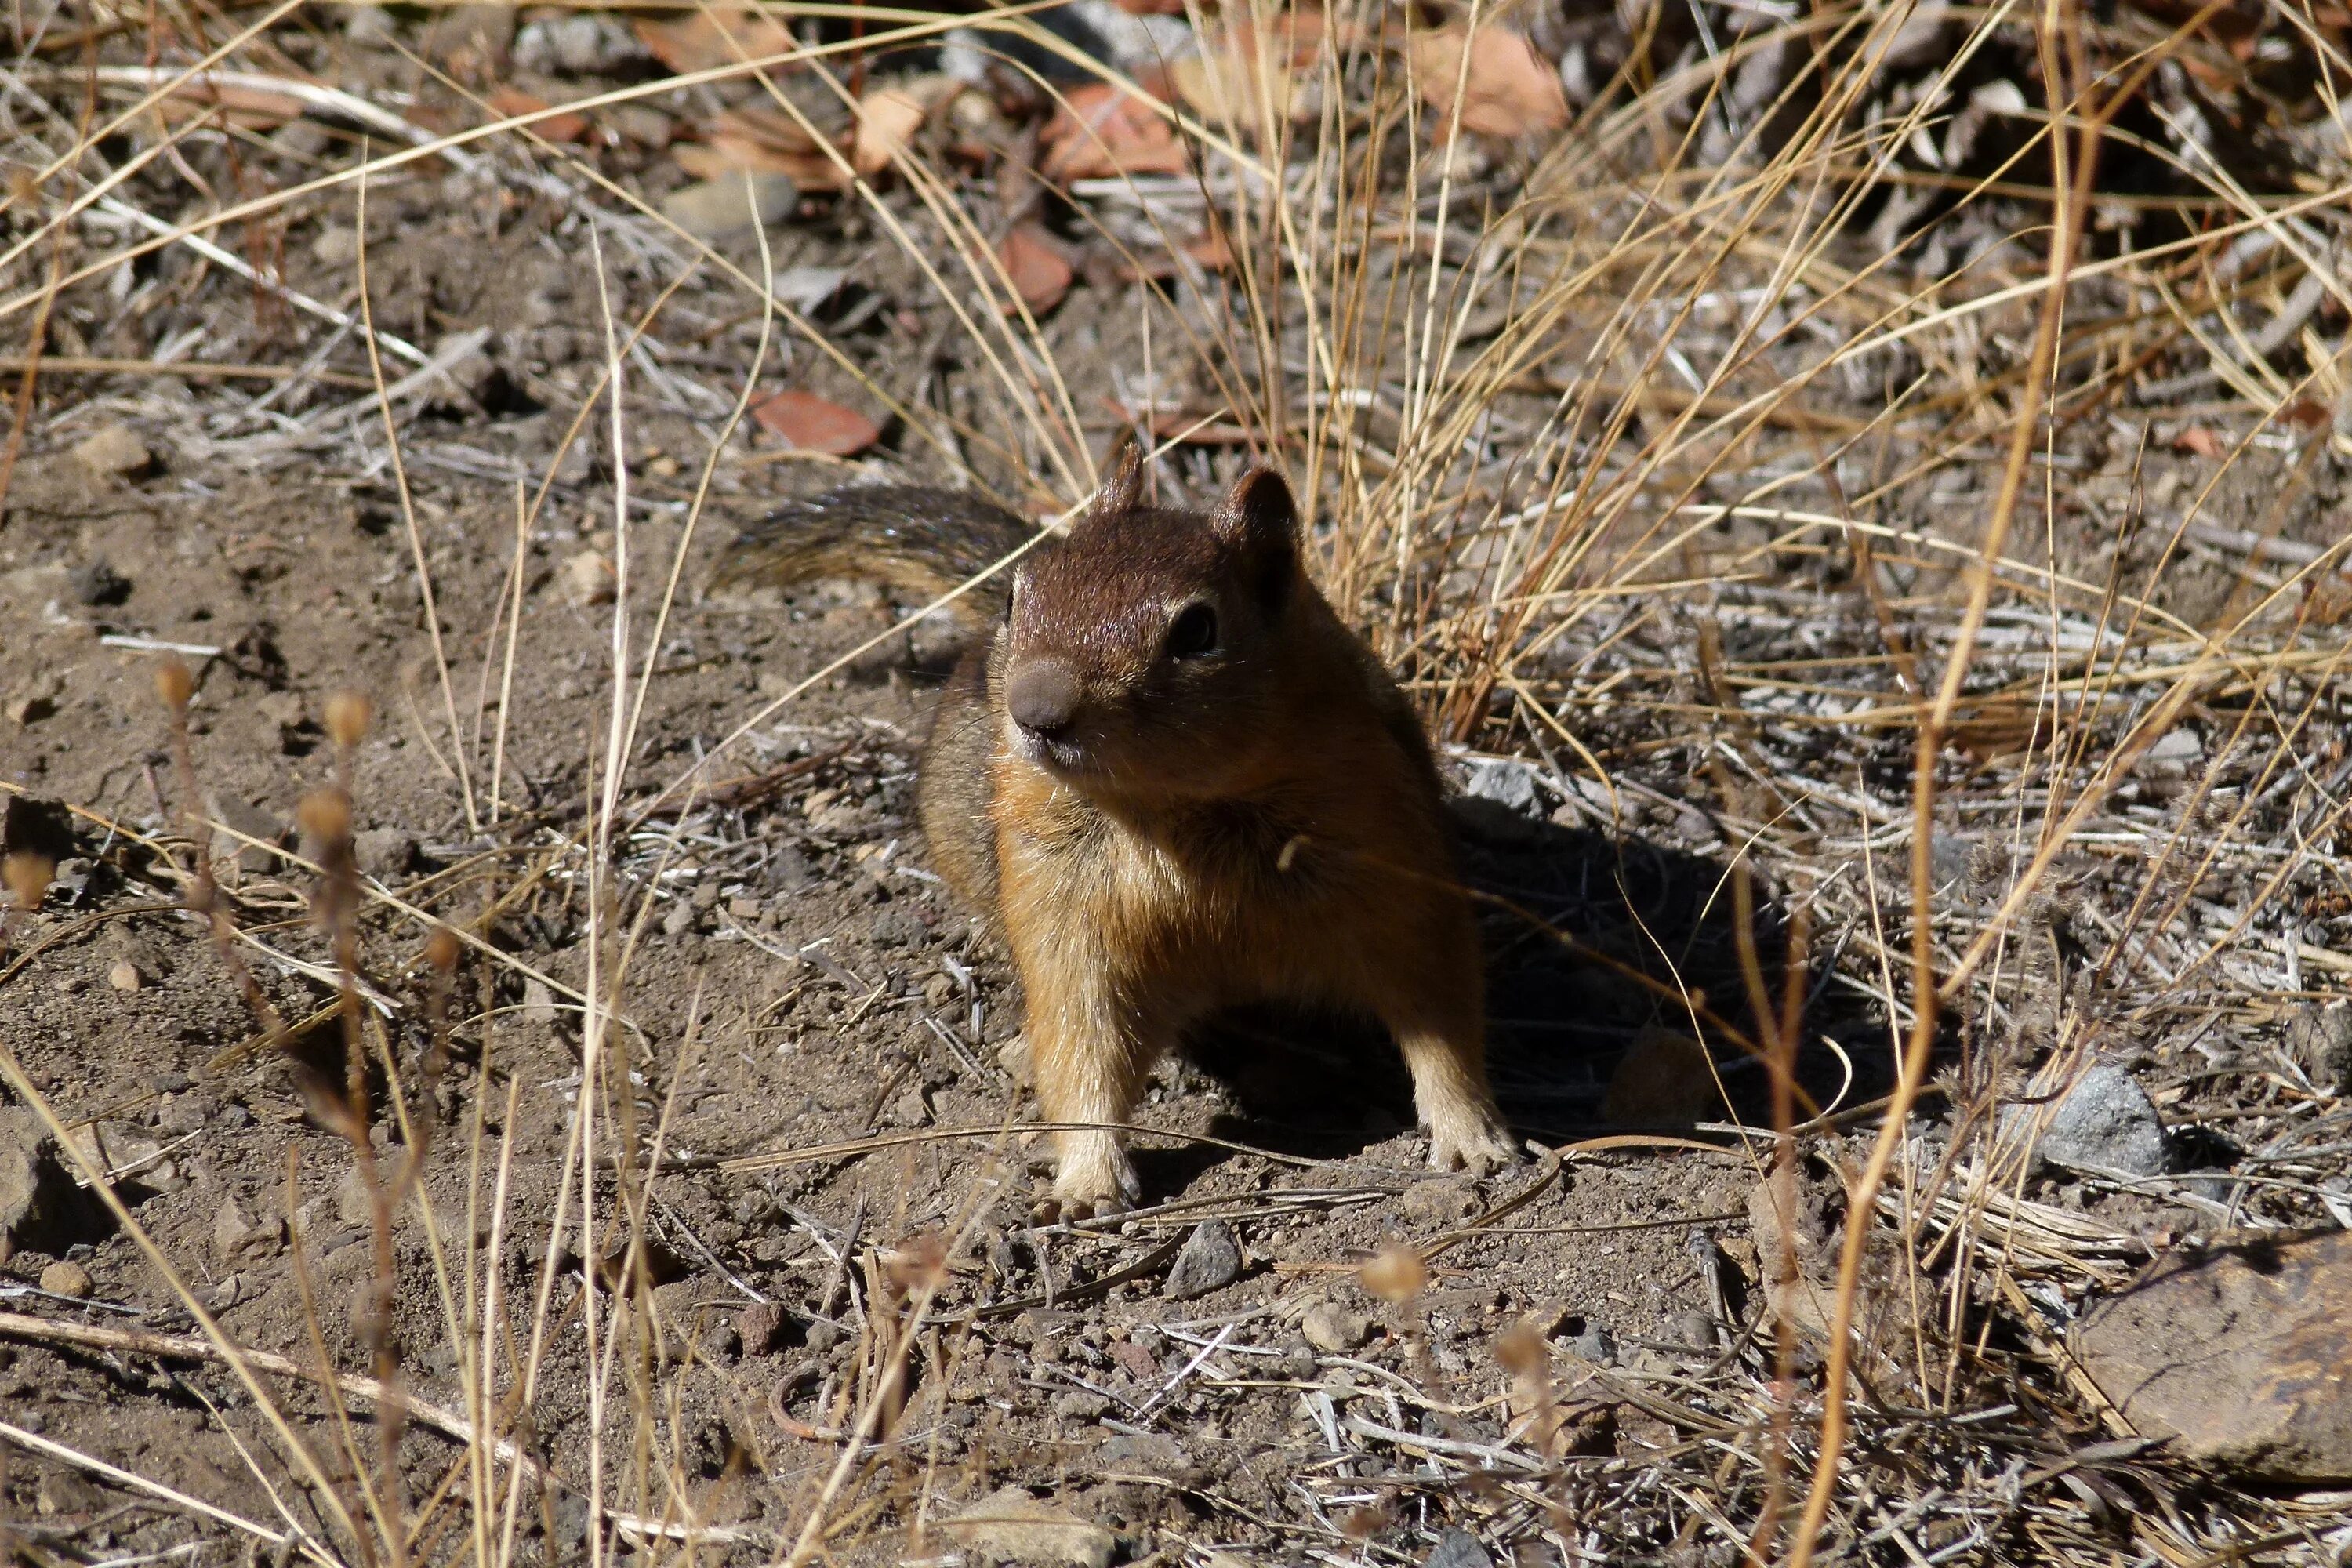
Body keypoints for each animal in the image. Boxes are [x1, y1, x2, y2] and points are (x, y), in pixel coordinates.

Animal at [720, 441, 1524, 1213]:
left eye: (1197, 629)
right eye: (1016, 596)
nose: (1036, 711)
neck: (1171, 808)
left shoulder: (1397, 872)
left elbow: (1441, 1019)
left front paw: (1476, 1140)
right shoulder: (1062, 914)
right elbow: (1081, 1047)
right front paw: (1085, 1184)